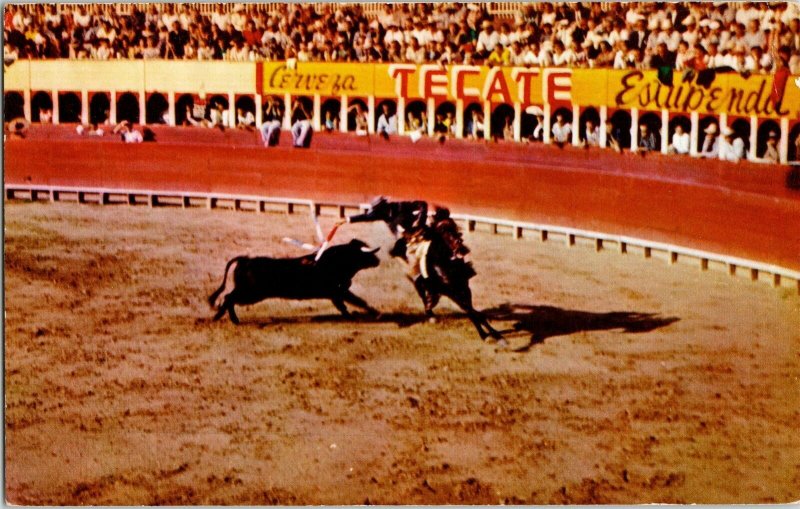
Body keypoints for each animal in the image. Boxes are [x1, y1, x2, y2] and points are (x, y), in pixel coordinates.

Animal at [206, 238, 382, 322]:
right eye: (365, 253)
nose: (378, 260)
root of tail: (245, 259)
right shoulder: (339, 291)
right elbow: (358, 301)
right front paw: (375, 313)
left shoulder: (337, 293)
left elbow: (345, 306)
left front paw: (352, 316)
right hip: (251, 293)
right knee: (229, 297)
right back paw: (230, 319)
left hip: (249, 293)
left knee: (228, 298)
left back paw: (221, 317)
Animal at [346, 196, 504, 344]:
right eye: (443, 231)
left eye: (454, 227)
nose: (461, 248)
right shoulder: (451, 292)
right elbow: (470, 312)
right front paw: (487, 336)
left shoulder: (464, 288)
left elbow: (475, 312)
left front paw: (495, 334)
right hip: (416, 280)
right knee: (422, 295)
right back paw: (430, 314)